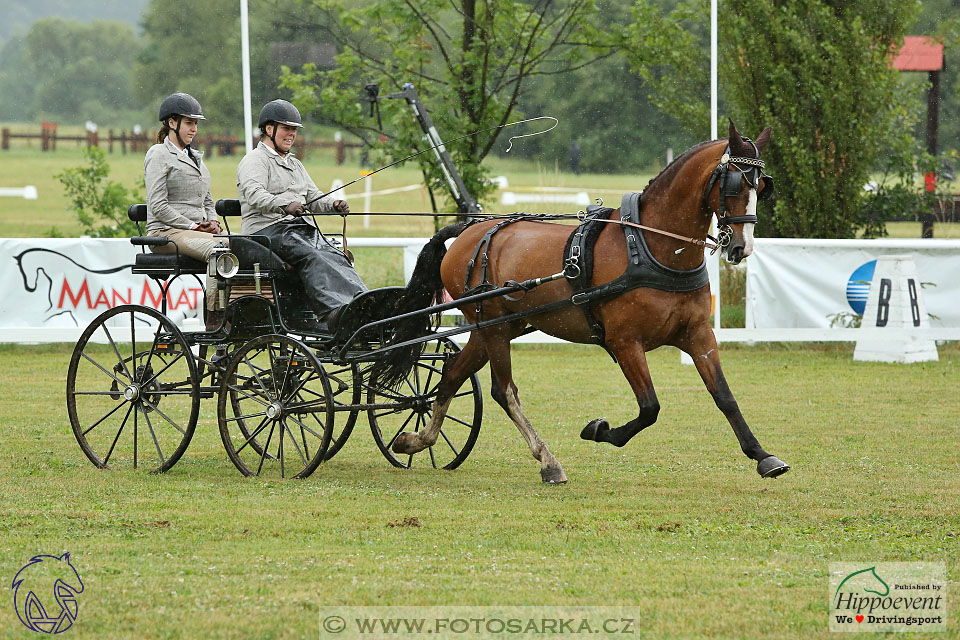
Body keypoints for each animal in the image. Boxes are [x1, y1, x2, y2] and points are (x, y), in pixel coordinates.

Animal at [378, 120, 784, 482]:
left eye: (762, 186)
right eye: (735, 184)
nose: (741, 247)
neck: (651, 247)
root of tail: (468, 230)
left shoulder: (698, 335)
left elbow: (724, 397)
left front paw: (763, 456)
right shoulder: (625, 342)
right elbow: (649, 408)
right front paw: (600, 429)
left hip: (491, 327)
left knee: (451, 377)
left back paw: (416, 440)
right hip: (492, 327)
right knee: (503, 391)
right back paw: (547, 461)